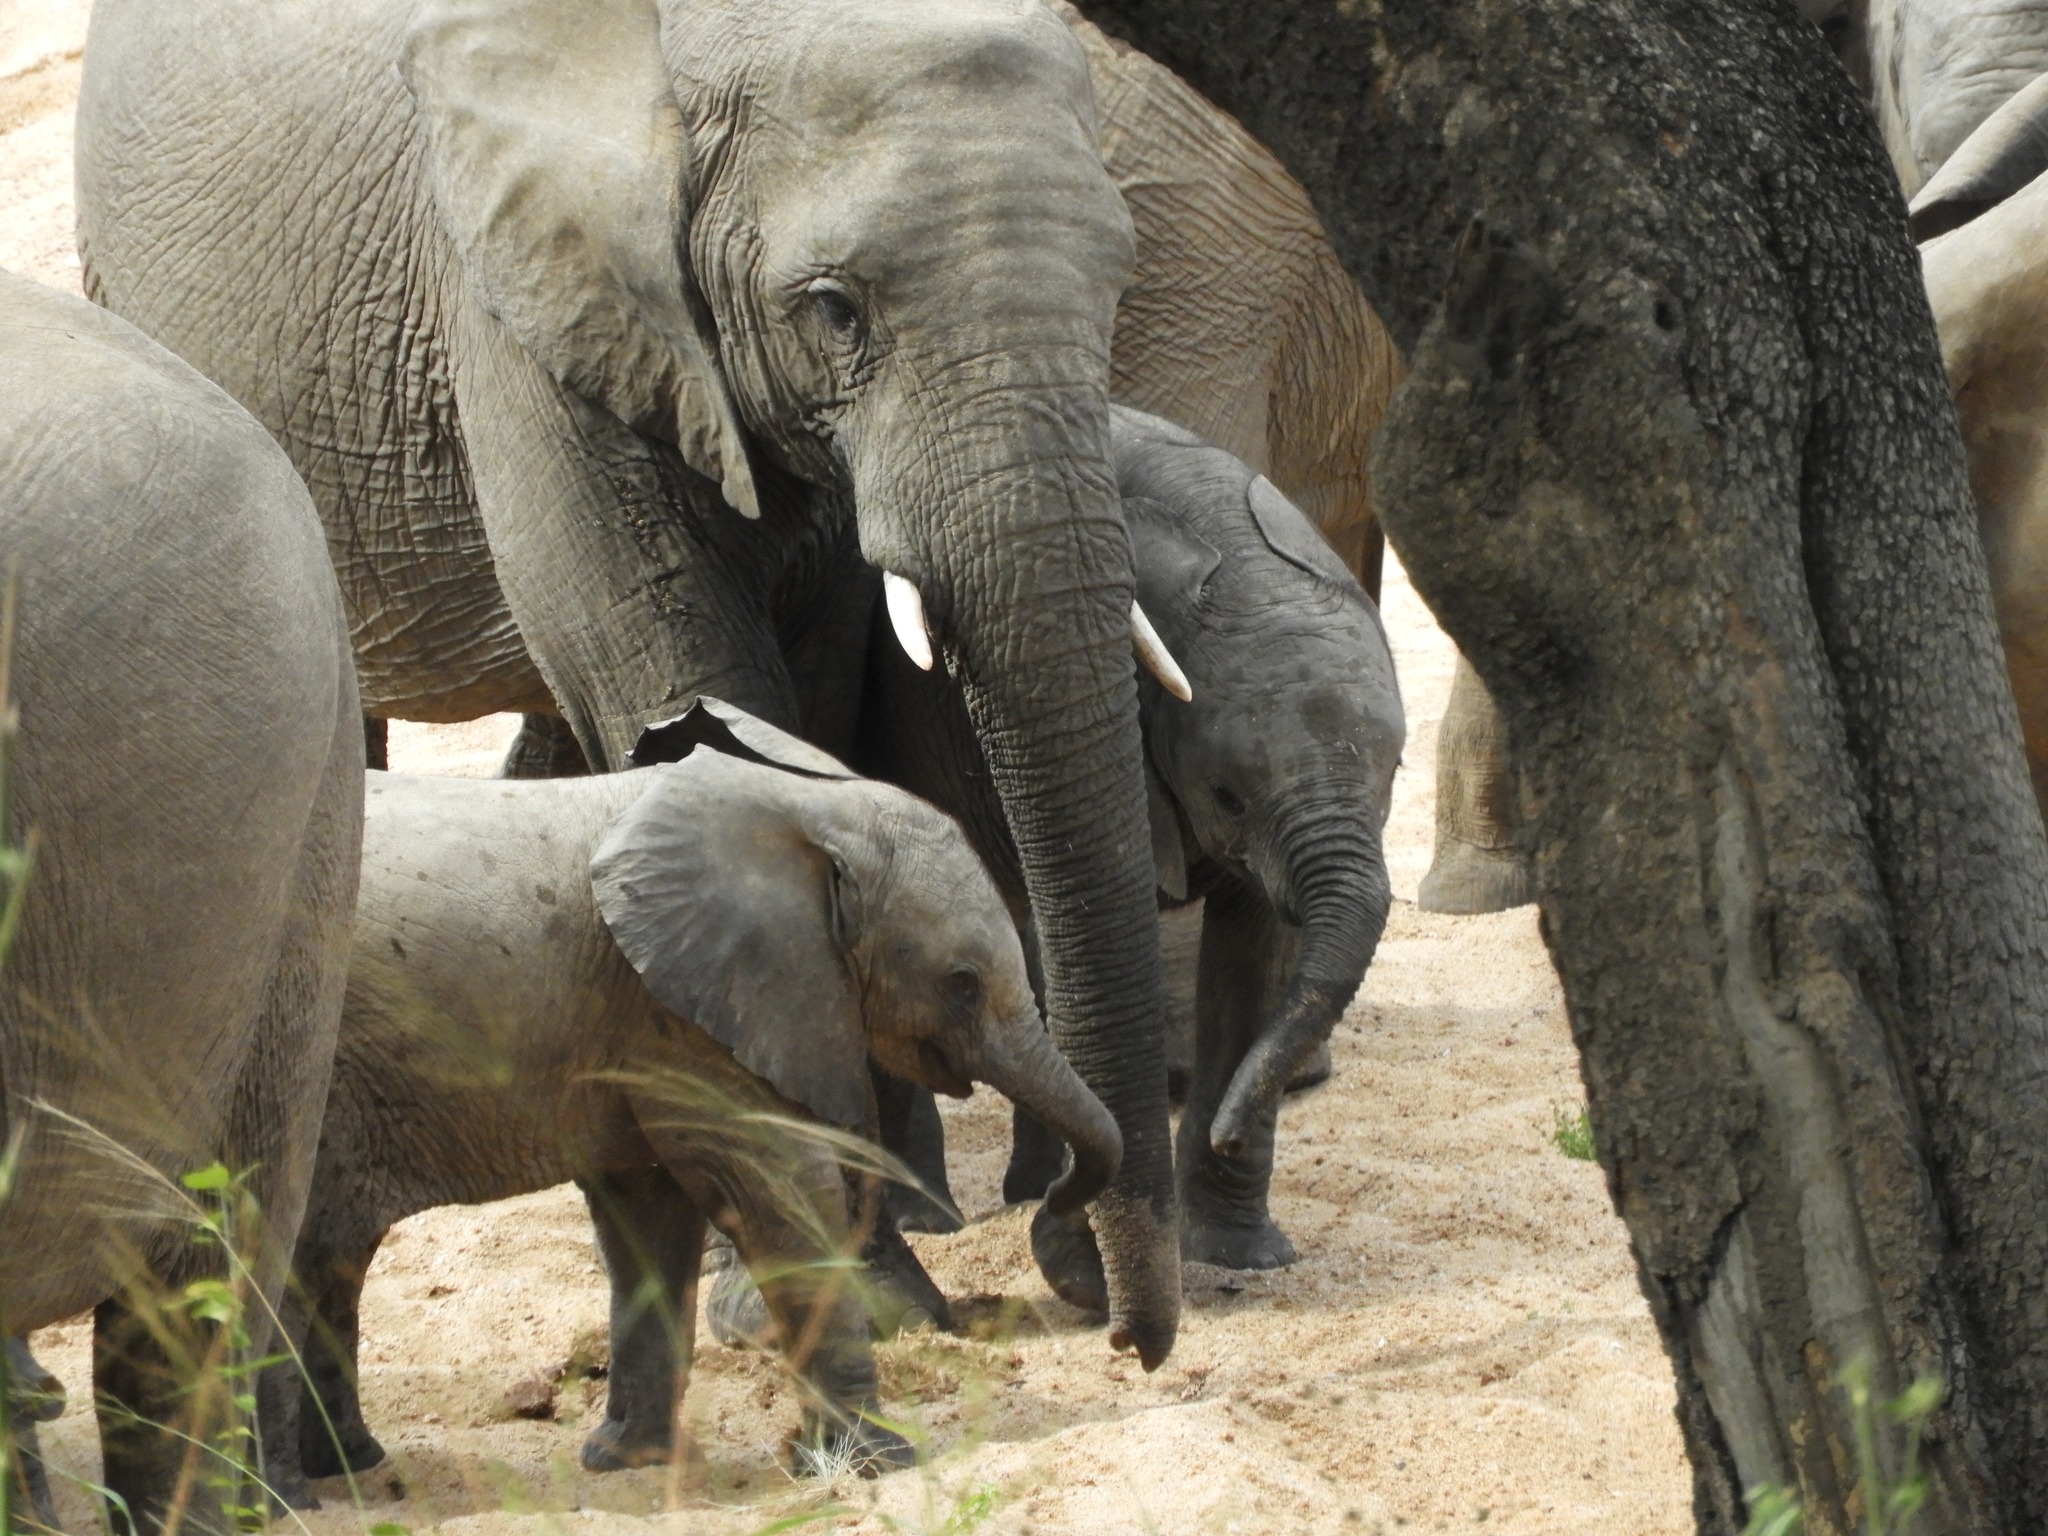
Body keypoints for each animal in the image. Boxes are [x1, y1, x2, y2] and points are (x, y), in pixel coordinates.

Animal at [76, 0, 1181, 1362]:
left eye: (1120, 283)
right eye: (834, 310)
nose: (1111, 1316)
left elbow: (806, 714)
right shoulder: (518, 309)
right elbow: (700, 687)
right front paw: (833, 1296)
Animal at [262, 701, 1119, 1503]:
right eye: (962, 985)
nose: (1051, 1203)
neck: (805, 812)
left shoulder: (648, 1022)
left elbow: (650, 1217)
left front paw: (628, 1463)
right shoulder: (684, 1011)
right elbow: (779, 1193)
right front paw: (883, 1464)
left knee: (330, 1259)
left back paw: (348, 1469)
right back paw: (290, 1496)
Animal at [861, 406, 1404, 1272]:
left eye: (1393, 775)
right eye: (1227, 795)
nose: (1228, 1131)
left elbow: (1254, 956)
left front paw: (1240, 1255)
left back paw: (1024, 1192)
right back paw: (931, 1221)